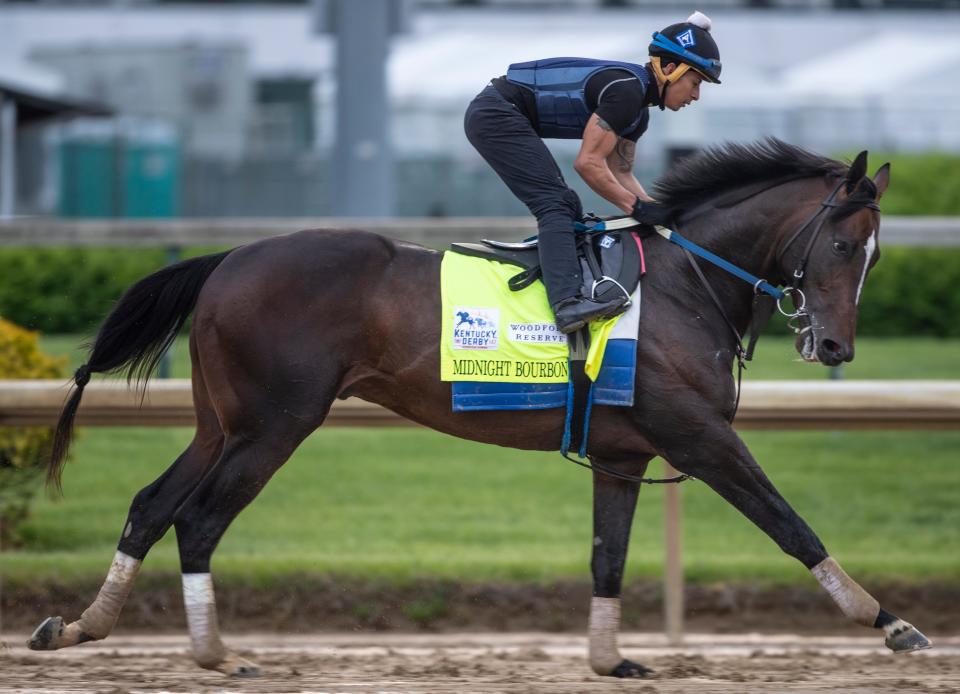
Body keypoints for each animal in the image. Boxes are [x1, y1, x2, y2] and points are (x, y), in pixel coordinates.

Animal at [28, 140, 928, 680]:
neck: (685, 284)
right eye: (844, 245)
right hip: (276, 424)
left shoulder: (625, 454)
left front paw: (610, 660)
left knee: (152, 505)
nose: (836, 347)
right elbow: (789, 524)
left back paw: (78, 627)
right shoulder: (699, 438)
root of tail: (228, 260)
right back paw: (215, 654)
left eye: (878, 255)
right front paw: (888, 621)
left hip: (222, 422)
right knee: (200, 519)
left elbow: (608, 555)